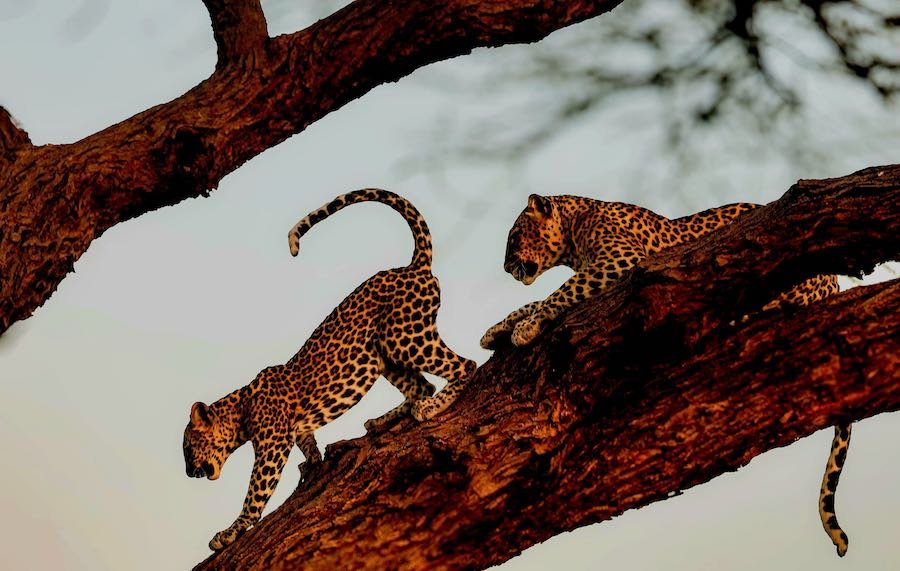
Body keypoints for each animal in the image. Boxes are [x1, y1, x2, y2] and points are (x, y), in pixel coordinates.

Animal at [183, 188, 475, 551]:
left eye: (188, 448)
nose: (188, 472)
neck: (241, 409)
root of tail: (412, 267)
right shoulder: (293, 431)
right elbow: (308, 444)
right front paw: (312, 463)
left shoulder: (272, 446)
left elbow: (255, 495)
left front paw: (230, 532)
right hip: (382, 353)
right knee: (422, 386)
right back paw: (384, 419)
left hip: (404, 336)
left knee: (464, 365)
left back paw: (431, 408)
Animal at [480, 193, 850, 557]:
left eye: (515, 236)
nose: (505, 267)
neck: (577, 225)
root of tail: (834, 285)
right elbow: (537, 299)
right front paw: (496, 330)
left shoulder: (619, 262)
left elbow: (561, 291)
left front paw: (525, 328)